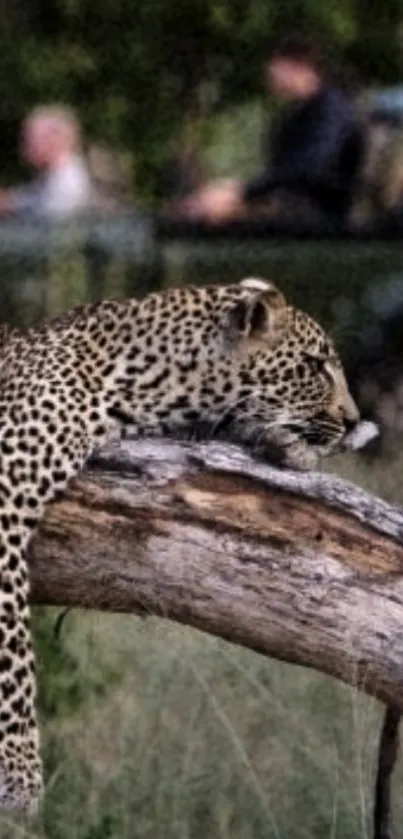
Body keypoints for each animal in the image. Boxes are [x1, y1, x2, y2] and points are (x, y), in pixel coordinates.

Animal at [0, 276, 370, 812]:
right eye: (315, 365)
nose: (353, 420)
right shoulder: (5, 498)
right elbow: (14, 648)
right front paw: (20, 773)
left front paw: (284, 445)